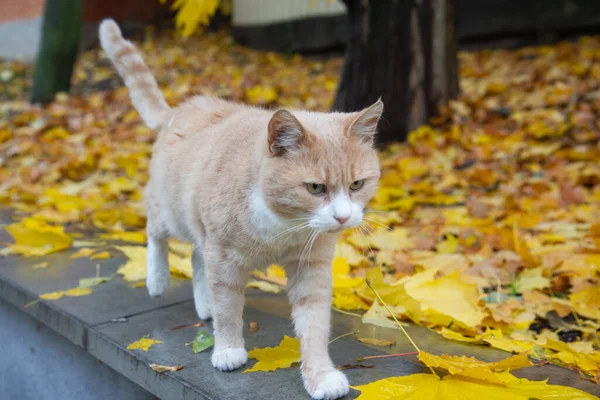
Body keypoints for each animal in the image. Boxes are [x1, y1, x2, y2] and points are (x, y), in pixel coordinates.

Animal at [98, 19, 380, 400]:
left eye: (357, 185)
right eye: (315, 188)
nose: (343, 217)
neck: (283, 227)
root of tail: (181, 108)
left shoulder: (311, 268)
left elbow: (314, 325)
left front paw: (320, 376)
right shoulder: (224, 260)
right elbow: (228, 309)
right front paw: (228, 349)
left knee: (196, 257)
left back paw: (201, 304)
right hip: (171, 212)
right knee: (156, 232)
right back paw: (157, 279)